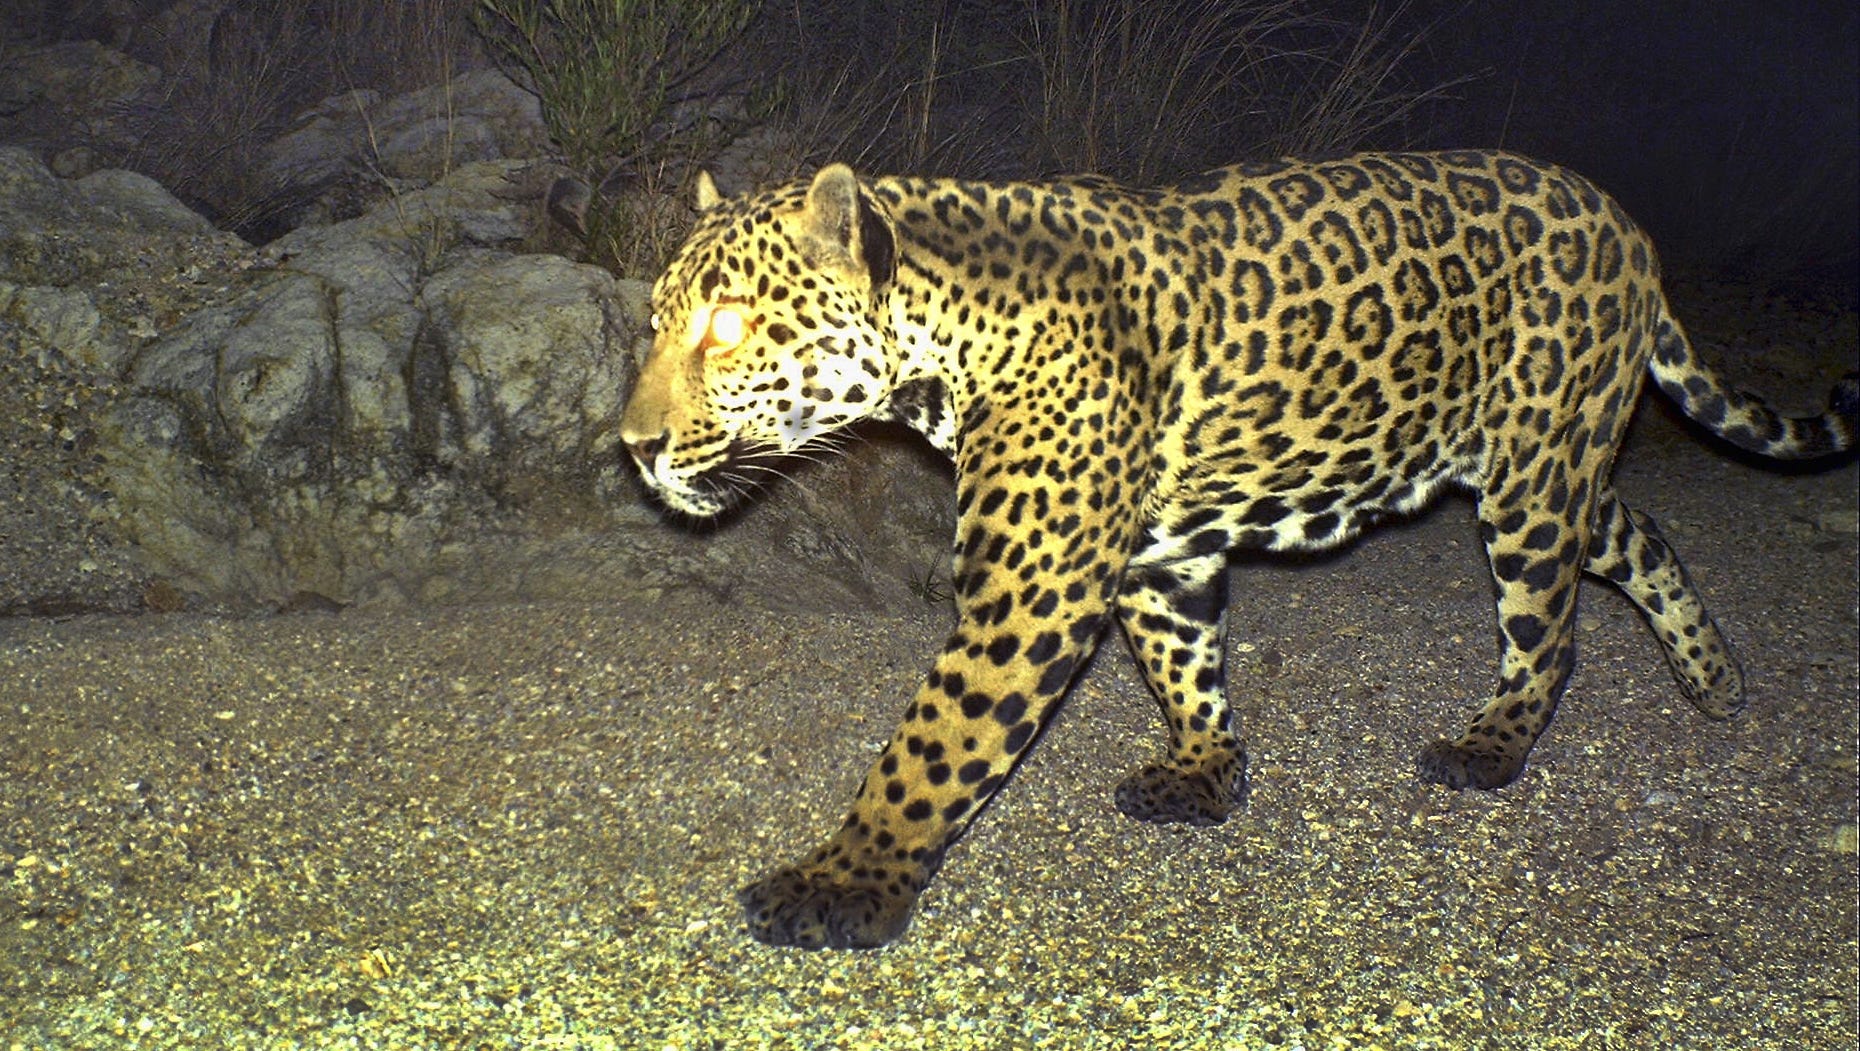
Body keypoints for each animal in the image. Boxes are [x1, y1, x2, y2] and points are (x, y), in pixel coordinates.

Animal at [618, 150, 1859, 950]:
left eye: (727, 327)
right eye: (657, 326)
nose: (632, 447)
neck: (944, 336)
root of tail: (1626, 224)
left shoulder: (1033, 590)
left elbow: (931, 747)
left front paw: (844, 881)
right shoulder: (1154, 556)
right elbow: (1185, 662)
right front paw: (1208, 768)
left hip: (1529, 476)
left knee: (1549, 633)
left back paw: (1494, 745)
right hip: (1542, 462)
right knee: (1636, 534)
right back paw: (1714, 678)